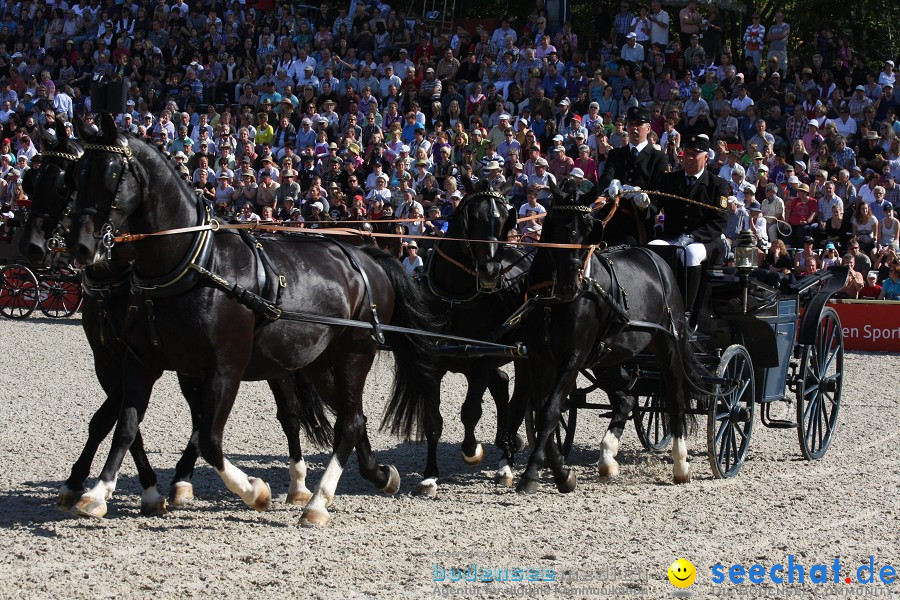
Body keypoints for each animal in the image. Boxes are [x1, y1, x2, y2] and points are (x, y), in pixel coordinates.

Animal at [21, 123, 330, 516]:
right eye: (32, 180)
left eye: (65, 183)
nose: (31, 246)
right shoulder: (113, 362)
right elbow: (120, 423)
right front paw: (96, 485)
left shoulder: (144, 362)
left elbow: (112, 419)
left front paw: (134, 488)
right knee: (204, 418)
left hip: (272, 364)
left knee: (287, 414)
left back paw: (298, 486)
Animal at [64, 113, 436, 524]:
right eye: (77, 174)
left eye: (112, 173)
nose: (79, 245)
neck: (196, 264)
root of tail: (368, 257)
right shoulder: (141, 362)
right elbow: (126, 425)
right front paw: (98, 492)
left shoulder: (224, 368)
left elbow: (209, 439)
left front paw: (254, 491)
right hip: (319, 363)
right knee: (353, 418)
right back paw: (378, 475)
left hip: (354, 354)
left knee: (349, 423)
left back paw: (317, 502)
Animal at [416, 179, 536, 496]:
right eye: (472, 218)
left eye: (506, 218)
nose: (491, 271)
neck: (455, 299)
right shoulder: (433, 362)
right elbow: (432, 419)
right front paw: (429, 476)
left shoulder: (481, 359)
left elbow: (470, 411)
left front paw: (472, 450)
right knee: (503, 385)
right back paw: (507, 444)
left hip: (520, 354)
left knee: (518, 398)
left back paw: (506, 461)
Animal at [512, 178, 696, 492]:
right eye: (555, 226)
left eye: (590, 230)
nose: (569, 285)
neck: (553, 301)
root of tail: (655, 258)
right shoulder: (539, 356)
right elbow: (542, 410)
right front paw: (561, 472)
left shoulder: (573, 356)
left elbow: (550, 410)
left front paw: (535, 473)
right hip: (608, 358)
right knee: (625, 400)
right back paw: (608, 458)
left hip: (668, 344)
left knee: (675, 399)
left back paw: (681, 464)